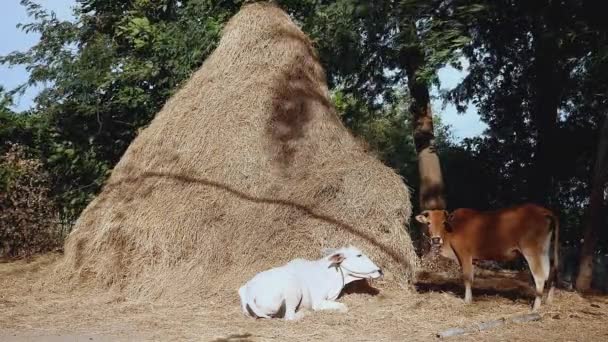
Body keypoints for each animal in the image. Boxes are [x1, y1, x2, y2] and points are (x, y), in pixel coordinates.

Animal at [236, 246, 380, 320]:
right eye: (359, 255)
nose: (380, 270)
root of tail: (249, 292)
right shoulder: (318, 302)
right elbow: (343, 307)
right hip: (294, 289)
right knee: (289, 316)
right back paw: (304, 312)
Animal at [416, 204, 560, 312]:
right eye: (428, 223)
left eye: (443, 222)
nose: (435, 239)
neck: (452, 229)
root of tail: (544, 211)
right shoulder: (471, 260)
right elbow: (471, 279)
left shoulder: (464, 255)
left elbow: (467, 278)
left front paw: (466, 301)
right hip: (547, 252)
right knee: (552, 273)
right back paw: (548, 301)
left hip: (532, 252)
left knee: (540, 276)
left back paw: (536, 307)